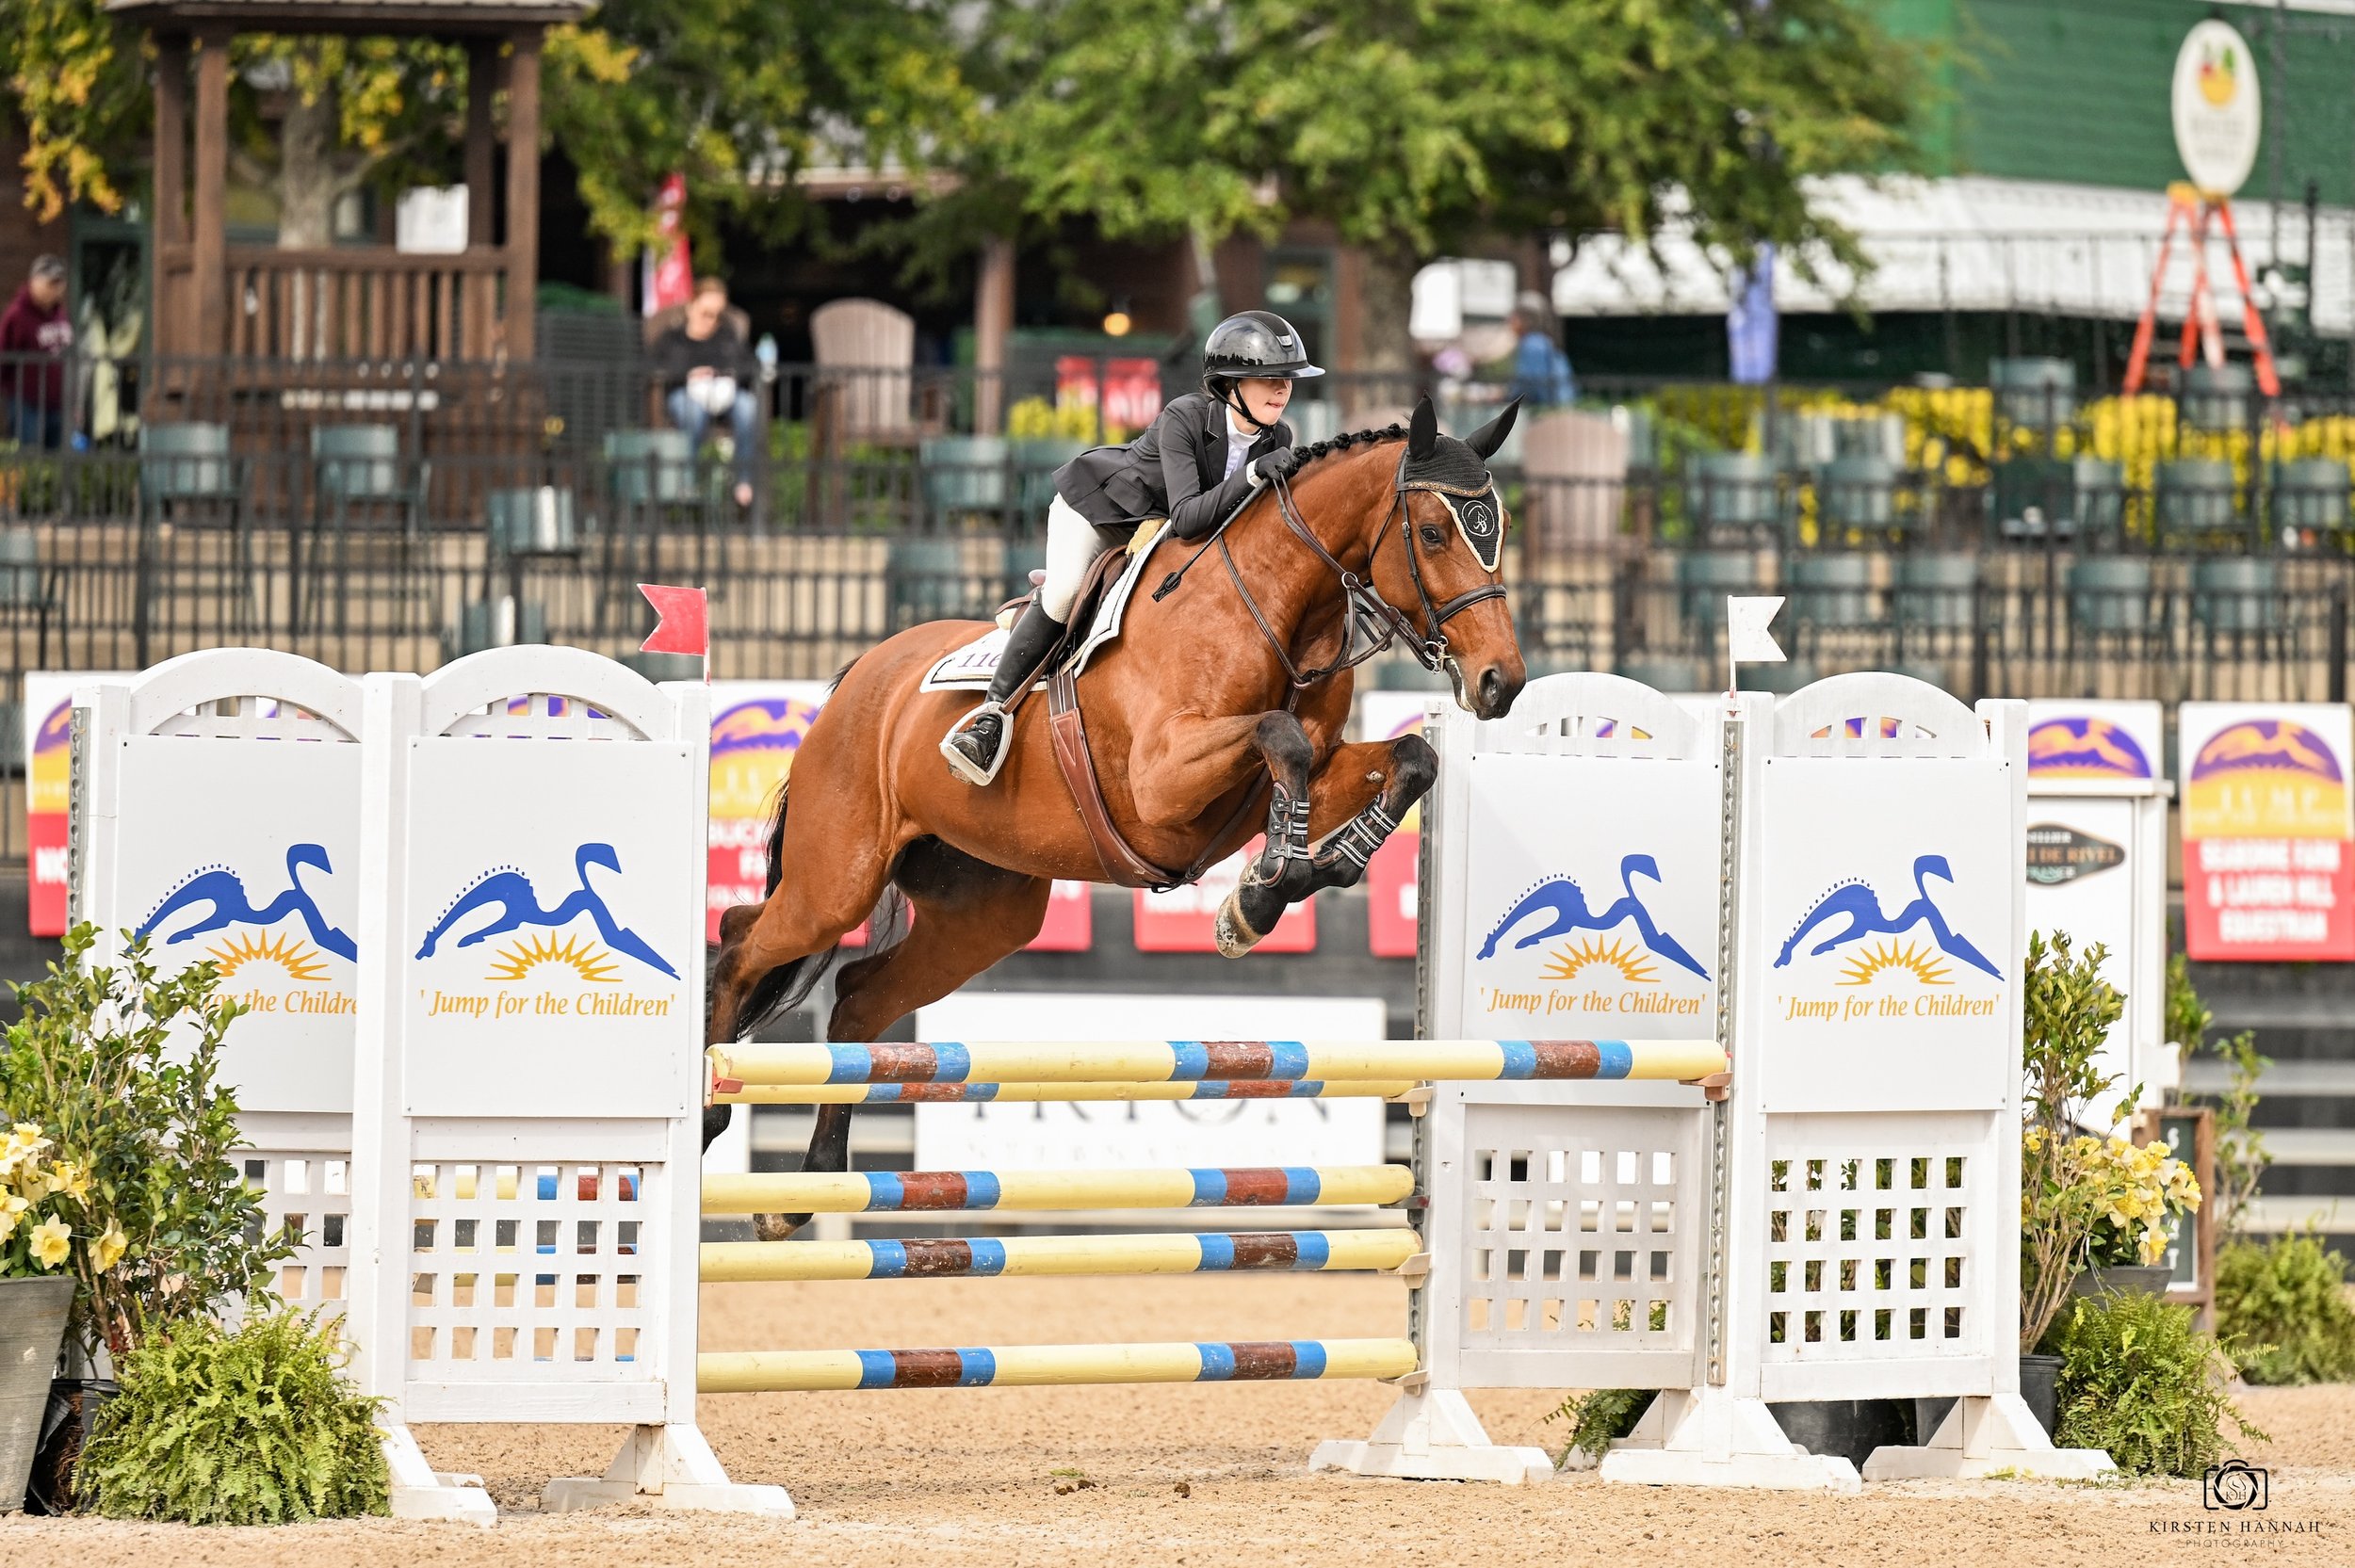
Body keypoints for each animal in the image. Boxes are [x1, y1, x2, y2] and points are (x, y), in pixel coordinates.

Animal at [704, 396, 1528, 1237]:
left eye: (1497, 525)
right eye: (1433, 532)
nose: (1503, 682)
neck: (1279, 605)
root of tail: (855, 679)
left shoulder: (1274, 782)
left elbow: (1405, 759)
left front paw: (1281, 885)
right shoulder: (1162, 781)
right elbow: (1282, 737)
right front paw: (1261, 894)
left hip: (982, 914)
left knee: (858, 997)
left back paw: (804, 1190)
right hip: (839, 878)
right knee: (741, 938)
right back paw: (711, 1111)